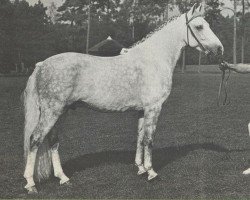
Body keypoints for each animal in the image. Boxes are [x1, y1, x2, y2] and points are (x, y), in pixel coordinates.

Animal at [23, 3, 223, 193]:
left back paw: (63, 178)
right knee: (35, 139)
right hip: (52, 111)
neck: (153, 59)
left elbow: (140, 137)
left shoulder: (142, 111)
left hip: (61, 112)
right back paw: (31, 184)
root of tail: (42, 65)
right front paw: (151, 172)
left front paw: (141, 168)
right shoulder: (154, 108)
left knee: (53, 142)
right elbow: (149, 139)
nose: (219, 49)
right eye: (199, 26)